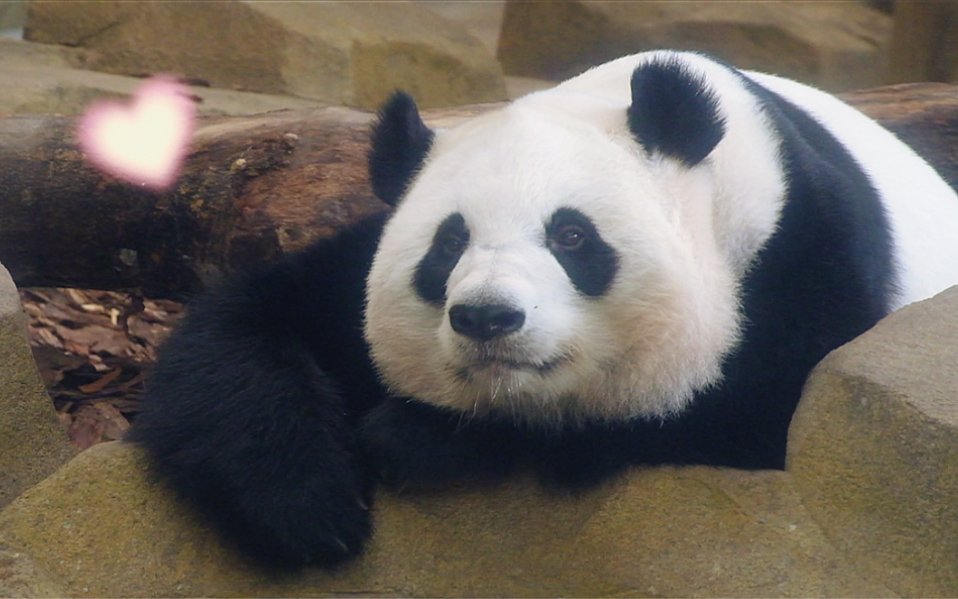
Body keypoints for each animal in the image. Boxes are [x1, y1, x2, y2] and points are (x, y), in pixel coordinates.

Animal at [129, 50, 958, 568]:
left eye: (571, 236)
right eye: (447, 245)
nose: (487, 318)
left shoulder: (801, 252)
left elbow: (752, 416)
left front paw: (420, 437)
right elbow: (246, 325)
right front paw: (305, 501)